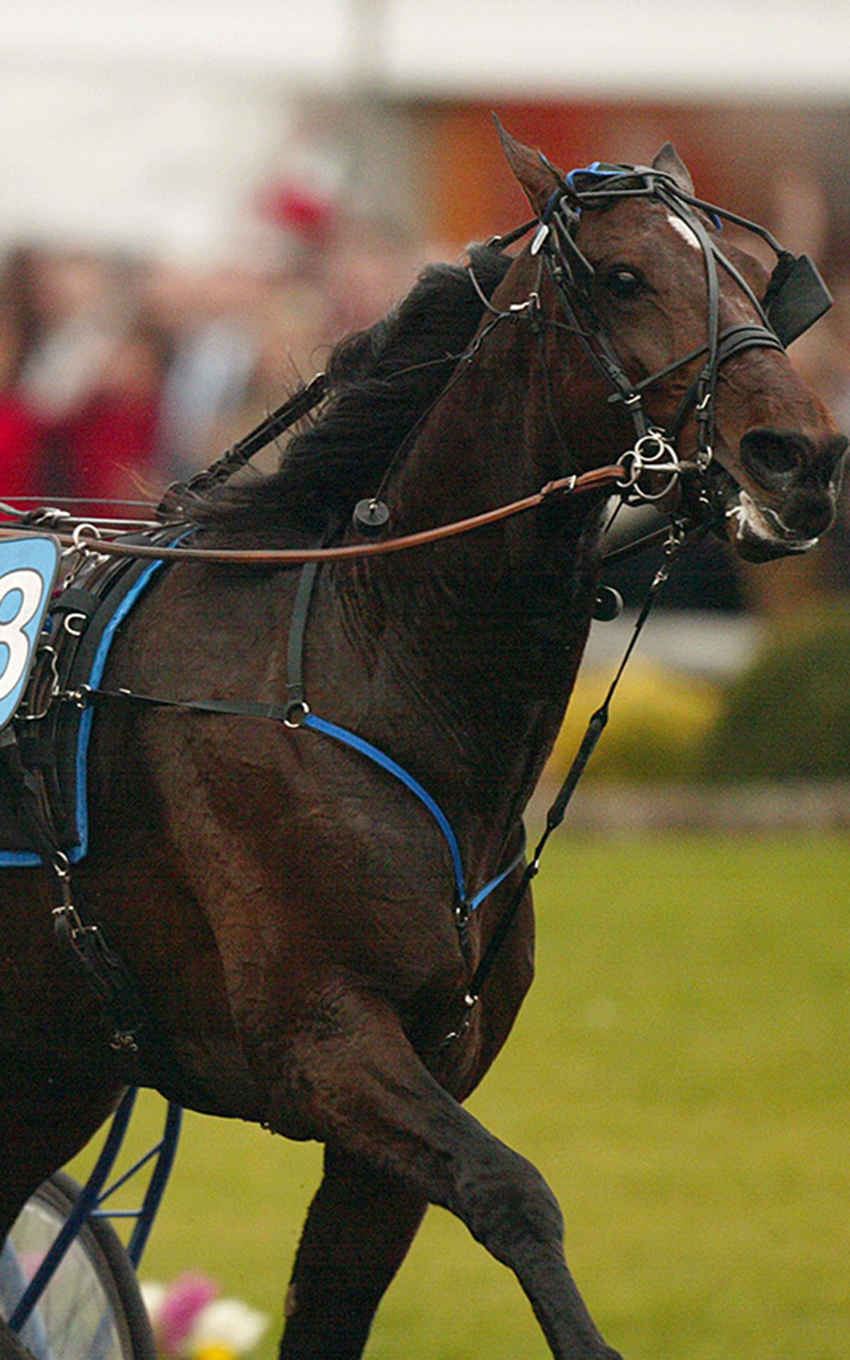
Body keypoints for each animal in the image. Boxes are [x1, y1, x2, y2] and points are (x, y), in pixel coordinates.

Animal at [1, 126, 846, 1360]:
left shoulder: (430, 1066)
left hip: (51, 1067)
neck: (366, 665)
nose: (801, 455)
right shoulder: (322, 1041)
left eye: (752, 274)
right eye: (621, 277)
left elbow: (343, 1289)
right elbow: (512, 1192)